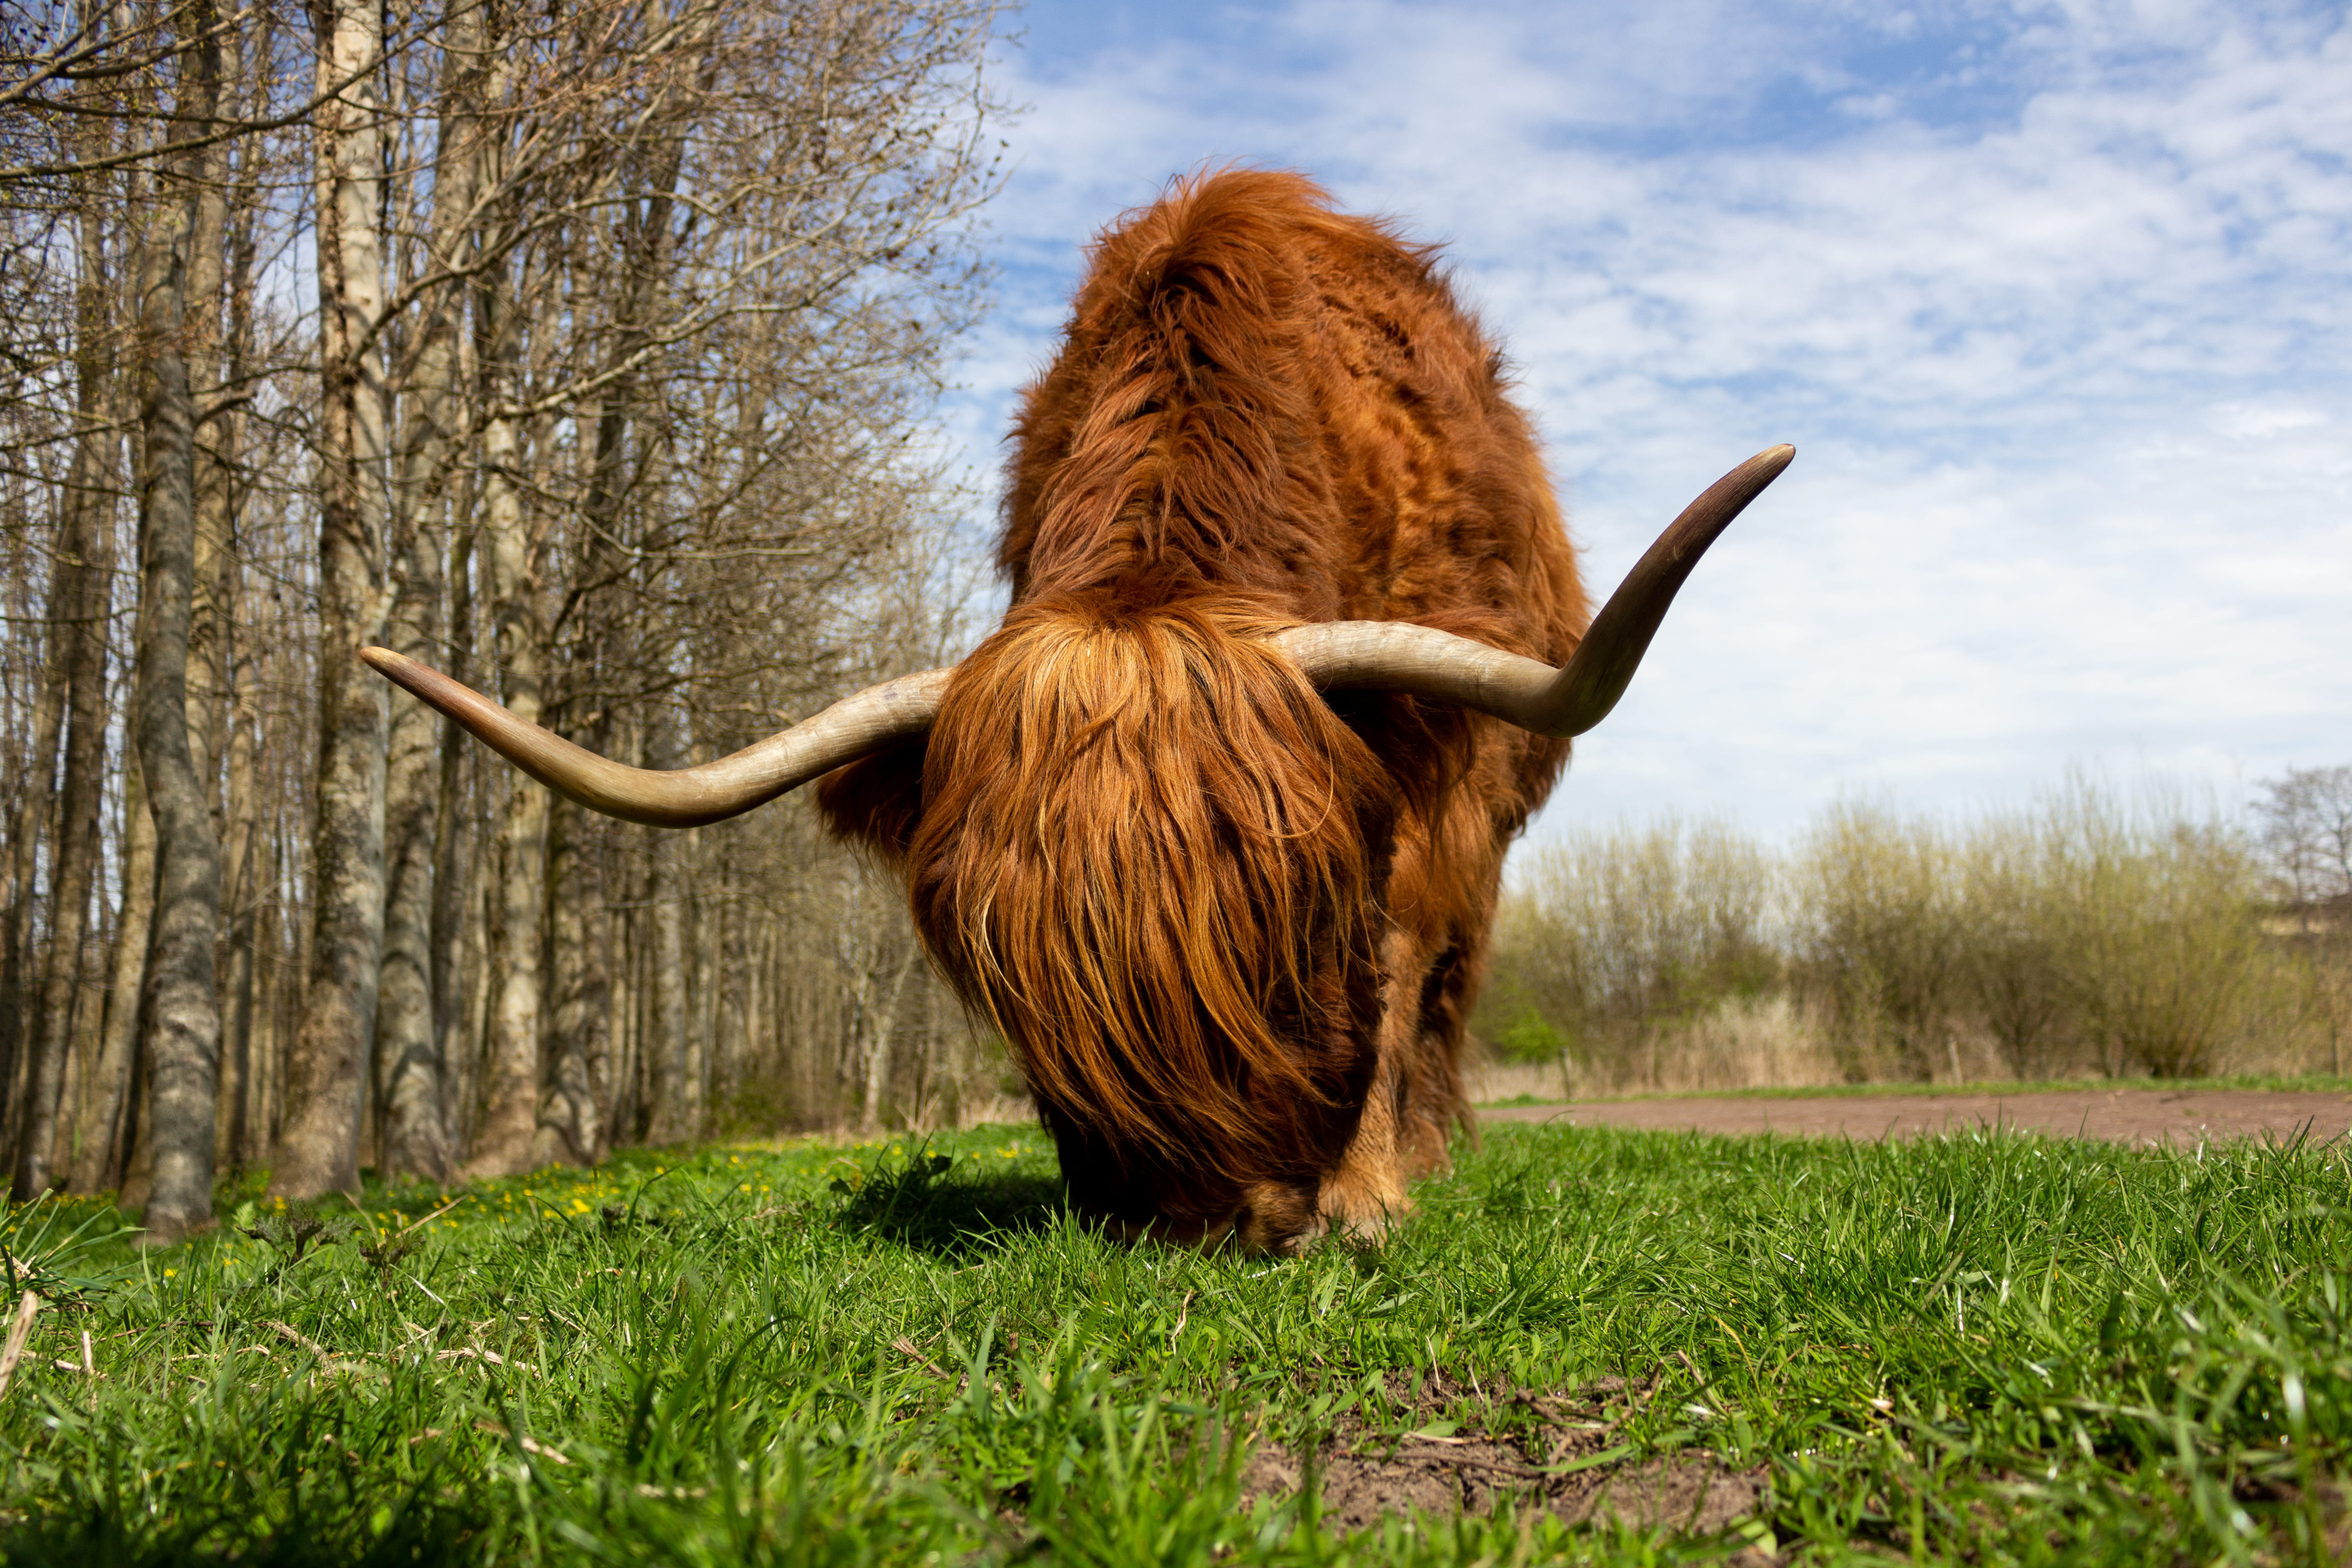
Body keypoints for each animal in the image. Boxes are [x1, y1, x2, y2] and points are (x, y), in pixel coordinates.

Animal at [364, 170, 1790, 1254]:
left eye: (1299, 921)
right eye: (1010, 967)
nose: (1211, 1218)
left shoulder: (1435, 795)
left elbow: (1399, 960)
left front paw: (1370, 1190)